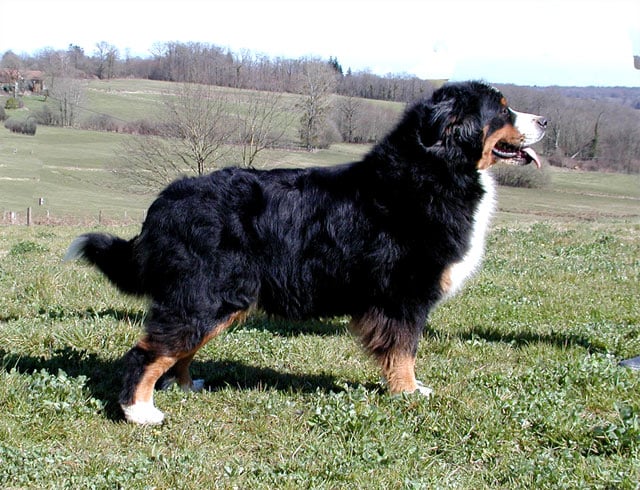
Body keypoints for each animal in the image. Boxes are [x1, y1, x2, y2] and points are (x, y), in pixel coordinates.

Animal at [63, 81, 544, 424]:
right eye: (502, 109)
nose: (543, 119)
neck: (433, 168)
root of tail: (165, 201)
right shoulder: (402, 296)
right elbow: (404, 350)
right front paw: (409, 393)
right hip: (205, 294)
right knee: (149, 350)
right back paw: (139, 411)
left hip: (219, 300)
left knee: (179, 347)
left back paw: (183, 386)